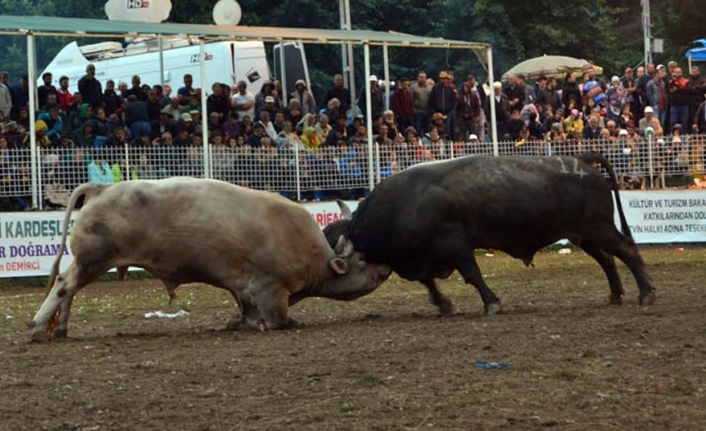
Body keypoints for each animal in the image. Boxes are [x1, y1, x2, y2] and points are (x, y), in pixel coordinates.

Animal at [28, 177, 390, 342]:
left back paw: (61, 328)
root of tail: (102, 189)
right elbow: (278, 320)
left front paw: (238, 322)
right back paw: (37, 327)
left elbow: (244, 309)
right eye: (362, 258)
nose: (387, 266)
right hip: (93, 259)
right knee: (64, 285)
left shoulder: (245, 290)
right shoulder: (271, 290)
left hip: (89, 260)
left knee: (69, 289)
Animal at [324, 154, 656, 316]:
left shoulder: (453, 242)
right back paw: (615, 294)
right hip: (582, 235)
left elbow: (472, 274)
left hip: (598, 227)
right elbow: (428, 281)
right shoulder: (423, 256)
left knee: (627, 251)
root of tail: (582, 162)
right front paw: (443, 304)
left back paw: (647, 294)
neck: (405, 202)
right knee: (607, 260)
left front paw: (491, 303)